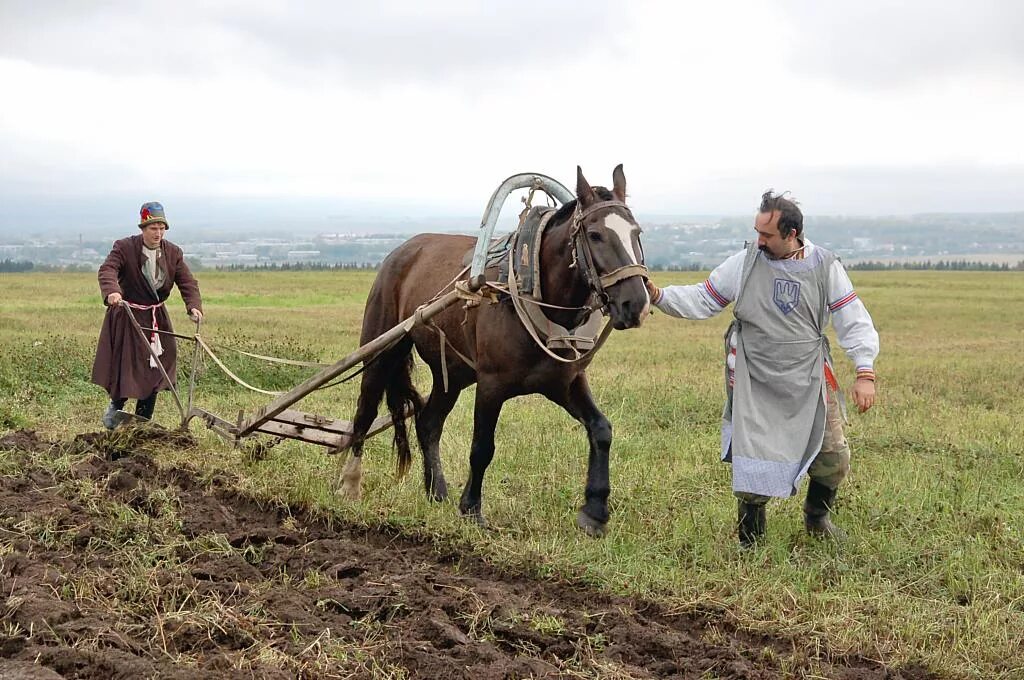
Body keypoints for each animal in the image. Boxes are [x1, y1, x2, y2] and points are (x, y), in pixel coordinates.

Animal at [342, 165, 647, 536]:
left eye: (636, 232)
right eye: (595, 234)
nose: (636, 304)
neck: (533, 290)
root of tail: (402, 251)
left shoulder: (565, 382)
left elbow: (601, 430)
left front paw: (595, 511)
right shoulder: (491, 385)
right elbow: (482, 447)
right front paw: (471, 508)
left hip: (452, 373)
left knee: (428, 422)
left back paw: (435, 491)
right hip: (382, 347)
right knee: (365, 410)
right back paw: (350, 484)